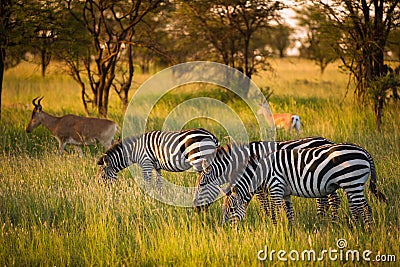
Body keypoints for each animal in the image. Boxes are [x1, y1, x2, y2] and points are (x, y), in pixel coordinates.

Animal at [192, 138, 340, 220]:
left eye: (202, 184)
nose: (196, 209)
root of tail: (327, 141)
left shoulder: (258, 185)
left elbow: (265, 205)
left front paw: (270, 222)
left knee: (331, 200)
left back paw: (327, 221)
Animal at [222, 143, 388, 229]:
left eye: (231, 210)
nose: (228, 231)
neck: (262, 171)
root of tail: (364, 152)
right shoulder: (285, 192)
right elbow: (289, 212)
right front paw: (292, 231)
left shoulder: (276, 186)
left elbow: (276, 210)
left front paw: (276, 229)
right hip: (352, 185)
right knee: (356, 207)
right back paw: (356, 227)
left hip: (353, 182)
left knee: (365, 208)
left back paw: (367, 231)